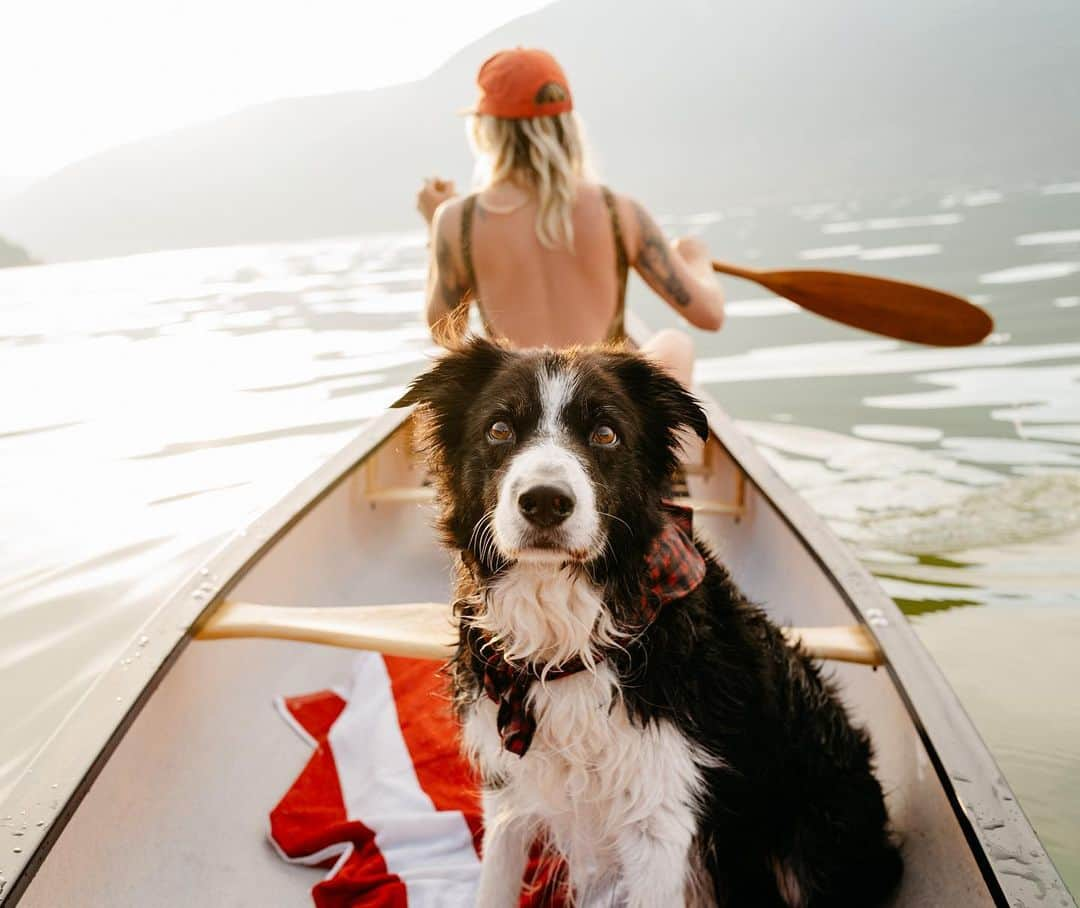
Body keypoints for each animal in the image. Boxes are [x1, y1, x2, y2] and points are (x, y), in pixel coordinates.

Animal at [397, 341, 902, 906]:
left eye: (605, 434)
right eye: (499, 429)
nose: (546, 501)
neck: (566, 639)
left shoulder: (660, 819)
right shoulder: (510, 790)